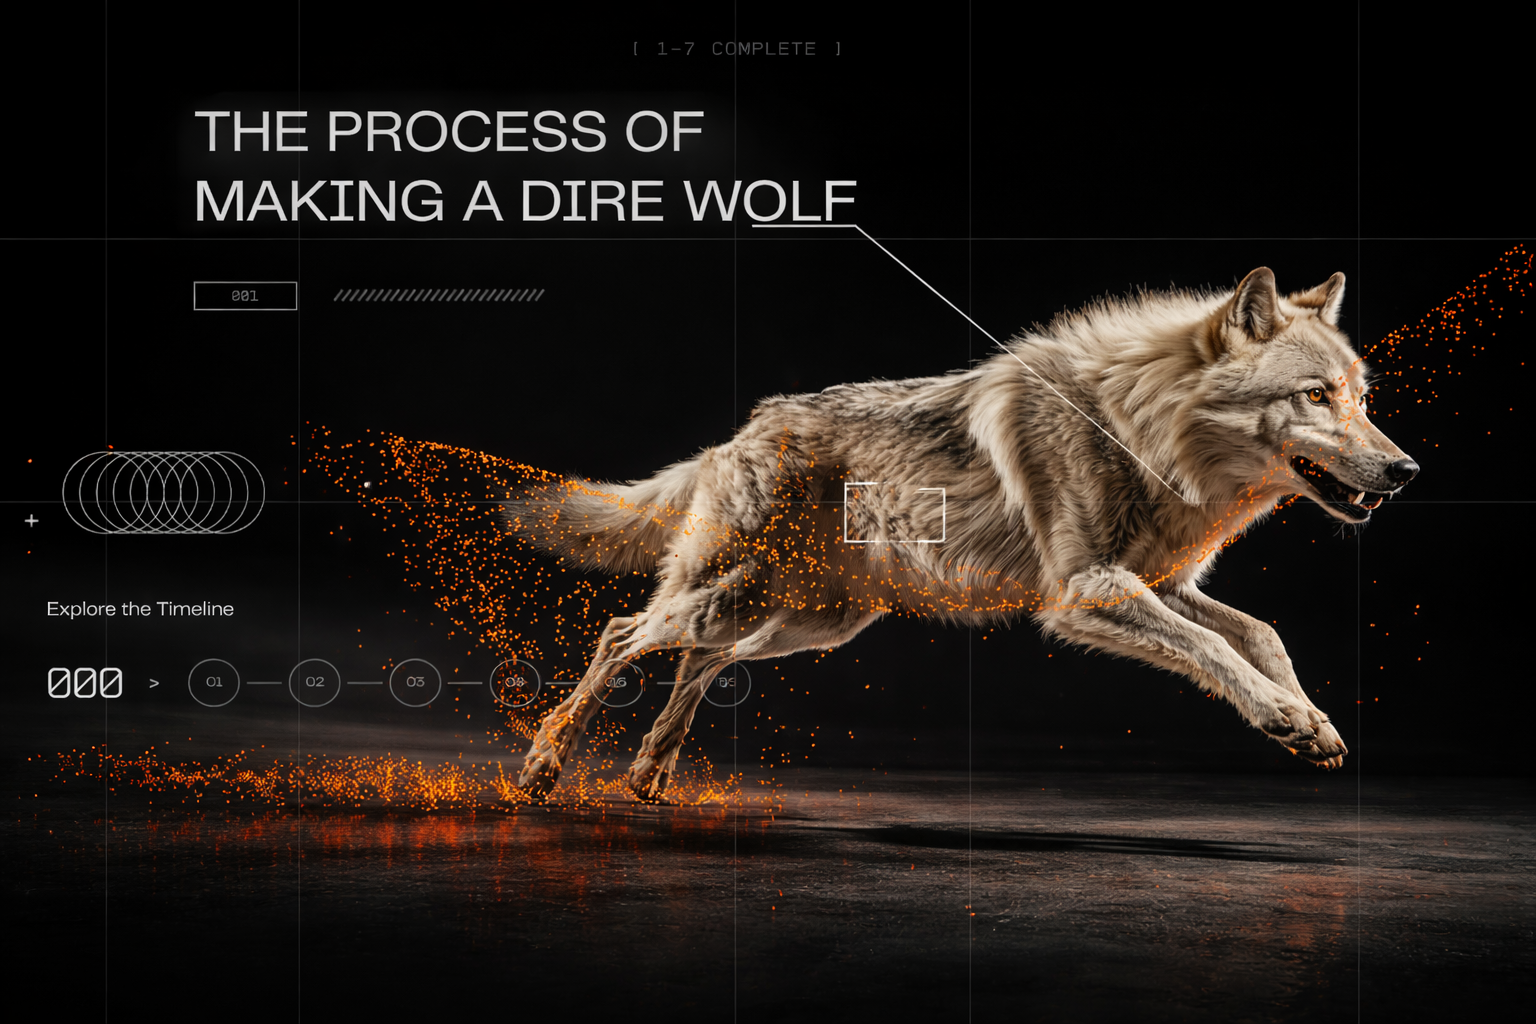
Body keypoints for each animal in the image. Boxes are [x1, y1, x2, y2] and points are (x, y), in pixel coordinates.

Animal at [503, 267, 1418, 799]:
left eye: (1362, 397)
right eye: (1315, 395)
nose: (1406, 470)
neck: (1142, 431)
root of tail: (744, 427)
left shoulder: (1165, 585)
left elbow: (1260, 634)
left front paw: (1311, 721)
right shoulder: (1088, 592)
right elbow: (1217, 648)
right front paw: (1282, 715)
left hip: (805, 625)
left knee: (699, 661)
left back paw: (650, 774)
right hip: (732, 600)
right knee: (623, 634)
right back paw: (545, 767)